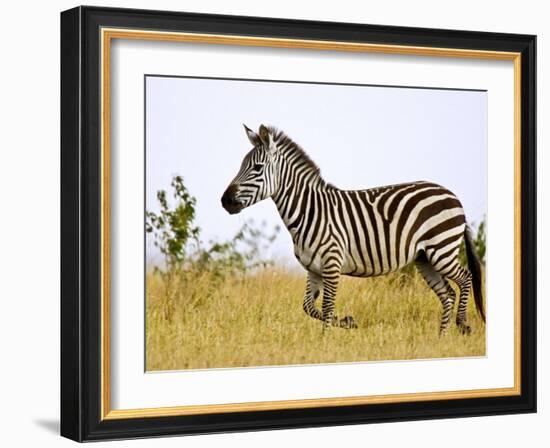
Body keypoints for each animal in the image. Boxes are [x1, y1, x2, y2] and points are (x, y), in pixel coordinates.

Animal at [221, 124, 488, 334]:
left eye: (256, 168)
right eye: (242, 165)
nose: (225, 201)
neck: (310, 210)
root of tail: (451, 194)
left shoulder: (331, 264)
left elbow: (327, 308)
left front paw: (324, 343)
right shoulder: (313, 269)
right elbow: (309, 307)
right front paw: (349, 322)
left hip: (441, 249)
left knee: (465, 278)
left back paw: (462, 325)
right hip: (425, 258)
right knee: (448, 294)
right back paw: (441, 338)